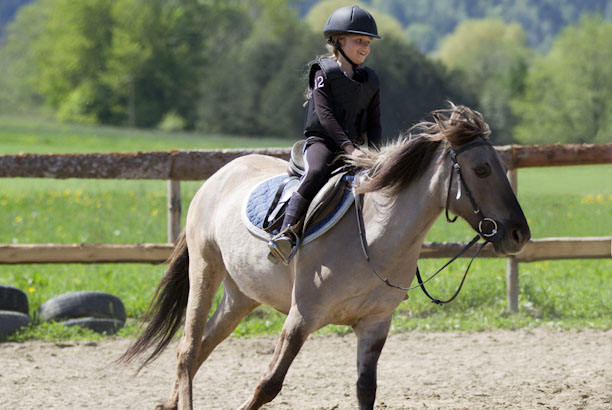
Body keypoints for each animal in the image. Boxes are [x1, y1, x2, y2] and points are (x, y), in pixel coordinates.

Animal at [119, 105, 532, 410]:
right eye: (481, 169)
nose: (519, 234)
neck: (374, 237)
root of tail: (218, 175)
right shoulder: (301, 317)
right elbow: (268, 385)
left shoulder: (375, 323)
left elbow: (366, 391)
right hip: (206, 269)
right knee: (188, 350)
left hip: (241, 297)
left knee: (202, 346)